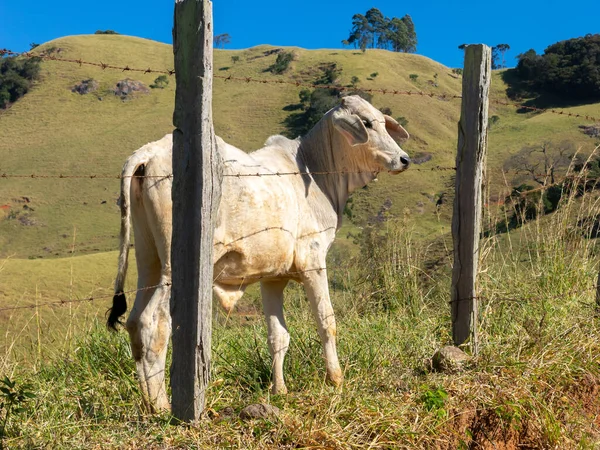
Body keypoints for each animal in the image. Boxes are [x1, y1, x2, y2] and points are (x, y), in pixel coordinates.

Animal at [108, 95, 410, 412]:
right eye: (366, 123)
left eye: (383, 121)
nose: (404, 159)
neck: (314, 170)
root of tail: (148, 152)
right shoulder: (314, 262)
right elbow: (327, 323)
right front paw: (336, 381)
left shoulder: (272, 277)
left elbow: (278, 336)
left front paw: (280, 390)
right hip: (172, 267)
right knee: (152, 323)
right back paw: (162, 406)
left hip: (148, 259)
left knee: (134, 322)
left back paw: (147, 402)